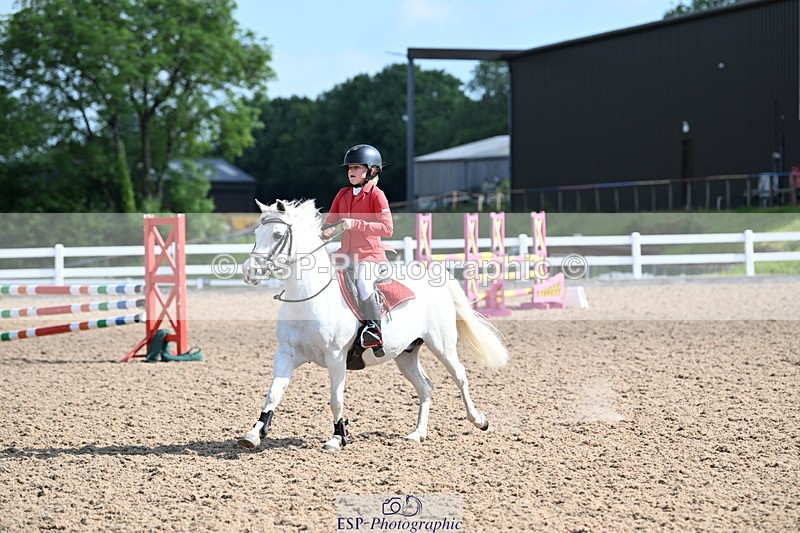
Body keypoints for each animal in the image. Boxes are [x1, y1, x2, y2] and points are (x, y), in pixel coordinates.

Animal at [237, 199, 509, 451]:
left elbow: (336, 399)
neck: (308, 298)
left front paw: (337, 438)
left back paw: (479, 420)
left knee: (460, 376)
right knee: (425, 386)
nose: (249, 272)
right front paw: (254, 434)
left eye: (277, 235)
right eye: (256, 234)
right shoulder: (286, 354)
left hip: (442, 346)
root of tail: (435, 277)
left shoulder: (336, 357)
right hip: (406, 354)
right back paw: (417, 434)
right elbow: (273, 393)